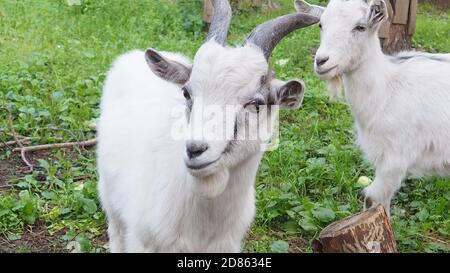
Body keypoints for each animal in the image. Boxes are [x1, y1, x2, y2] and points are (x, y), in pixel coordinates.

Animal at [296, 0, 450, 216]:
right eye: (321, 25)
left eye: (360, 27)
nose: (321, 61)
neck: (386, 89)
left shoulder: (396, 157)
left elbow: (372, 197)